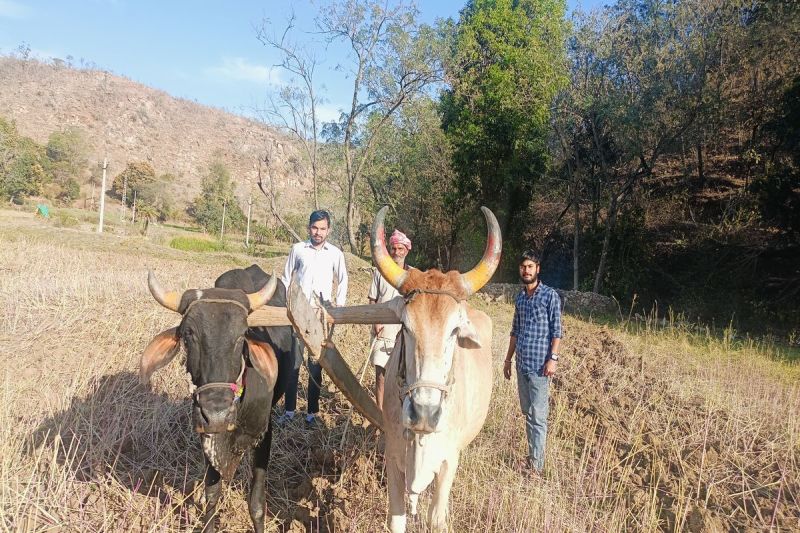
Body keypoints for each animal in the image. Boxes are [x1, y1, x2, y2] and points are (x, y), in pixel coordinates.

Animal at [139, 264, 296, 533]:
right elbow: (212, 495)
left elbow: (257, 504)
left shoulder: (263, 433)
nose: (217, 416)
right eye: (188, 334)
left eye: (242, 334)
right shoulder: (206, 437)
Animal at [368, 206, 502, 533]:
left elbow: (437, 518)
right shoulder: (394, 458)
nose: (425, 414)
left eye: (454, 330)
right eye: (405, 326)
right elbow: (397, 519)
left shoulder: (447, 463)